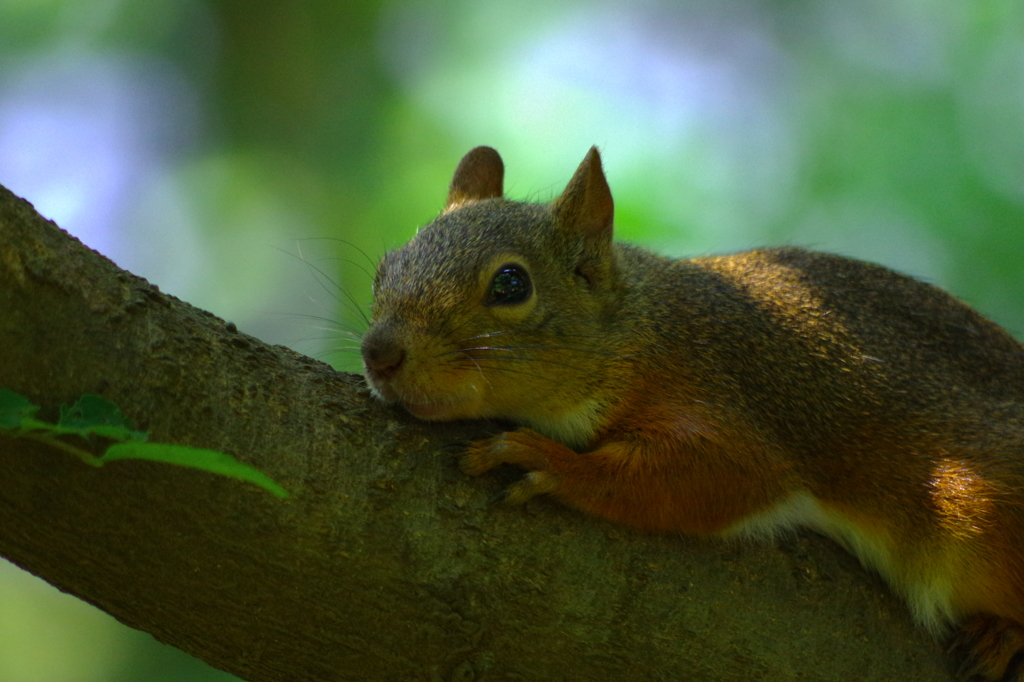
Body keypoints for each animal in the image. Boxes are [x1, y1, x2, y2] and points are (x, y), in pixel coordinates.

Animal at [358, 146, 1024, 675]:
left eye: (511, 285)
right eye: (384, 268)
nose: (378, 354)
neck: (644, 327)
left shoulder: (721, 397)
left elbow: (717, 475)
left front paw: (544, 460)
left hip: (975, 507)